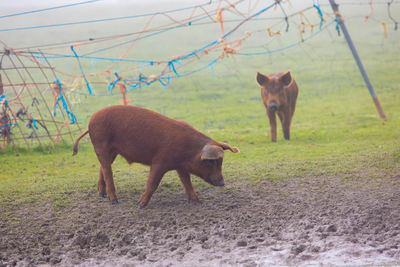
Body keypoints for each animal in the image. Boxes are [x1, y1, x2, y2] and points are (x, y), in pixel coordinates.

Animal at [73, 105, 239, 209]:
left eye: (221, 161)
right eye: (211, 162)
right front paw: (140, 205)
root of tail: (91, 120)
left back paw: (102, 195)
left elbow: (187, 182)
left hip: (112, 151)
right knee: (108, 171)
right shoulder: (160, 161)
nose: (223, 183)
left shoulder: (180, 166)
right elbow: (152, 183)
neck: (189, 151)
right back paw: (114, 201)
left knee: (102, 167)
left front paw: (197, 201)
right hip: (101, 144)